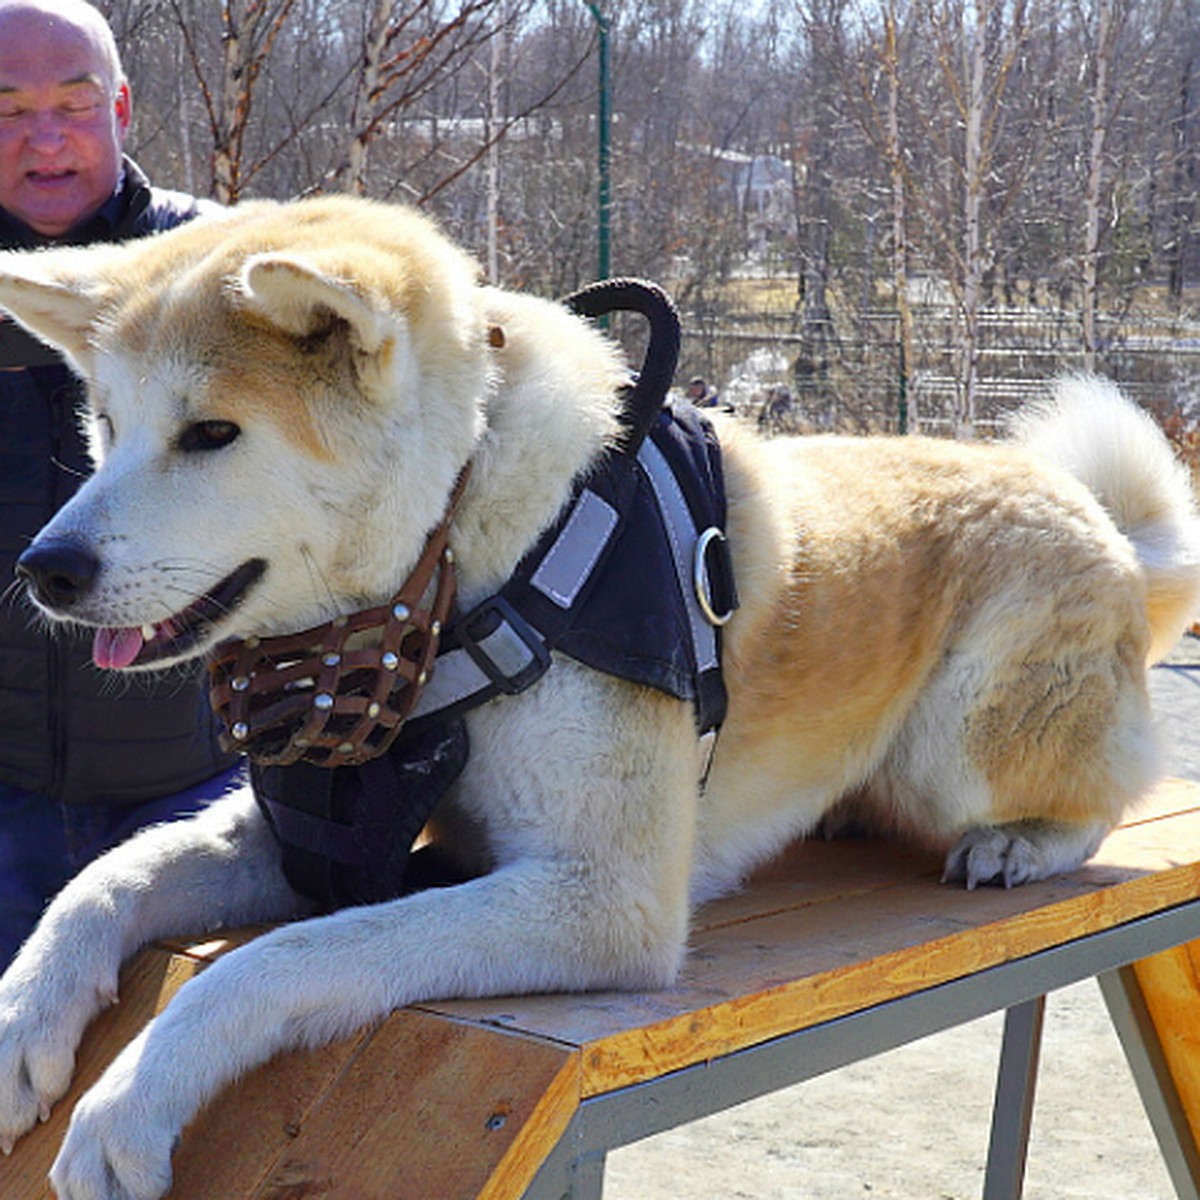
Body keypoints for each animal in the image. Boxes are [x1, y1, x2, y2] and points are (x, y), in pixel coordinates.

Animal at [2, 192, 1200, 1195]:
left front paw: (128, 1105)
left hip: (962, 744)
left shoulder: (599, 901)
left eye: (211, 433)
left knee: (1099, 797)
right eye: (106, 427)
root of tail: (1096, 515)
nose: (44, 569)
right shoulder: (305, 834)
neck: (455, 559)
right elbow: (110, 877)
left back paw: (1021, 845)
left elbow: (274, 961)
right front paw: (22, 1024)